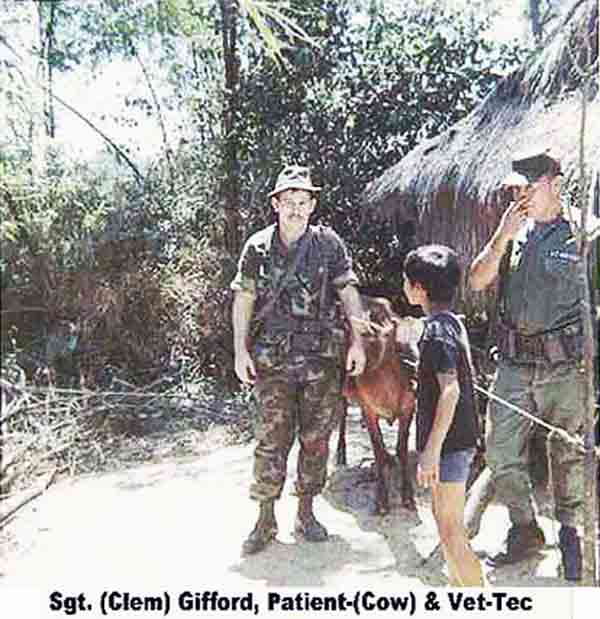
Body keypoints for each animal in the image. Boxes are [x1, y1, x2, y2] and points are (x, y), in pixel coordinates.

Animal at [338, 298, 418, 516]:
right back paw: (340, 452)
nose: (417, 377)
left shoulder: (408, 408)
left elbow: (401, 448)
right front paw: (381, 499)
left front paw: (408, 496)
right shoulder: (369, 410)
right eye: (399, 346)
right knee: (341, 415)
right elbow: (377, 448)